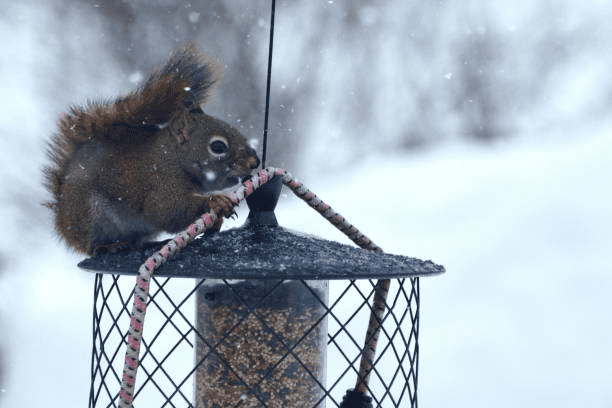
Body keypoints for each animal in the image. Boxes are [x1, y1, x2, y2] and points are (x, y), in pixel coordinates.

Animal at [44, 44, 260, 255]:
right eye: (217, 146)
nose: (255, 162)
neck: (175, 158)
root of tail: (61, 218)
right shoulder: (160, 183)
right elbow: (168, 212)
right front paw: (215, 201)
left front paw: (215, 221)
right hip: (92, 217)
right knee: (91, 246)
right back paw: (107, 246)